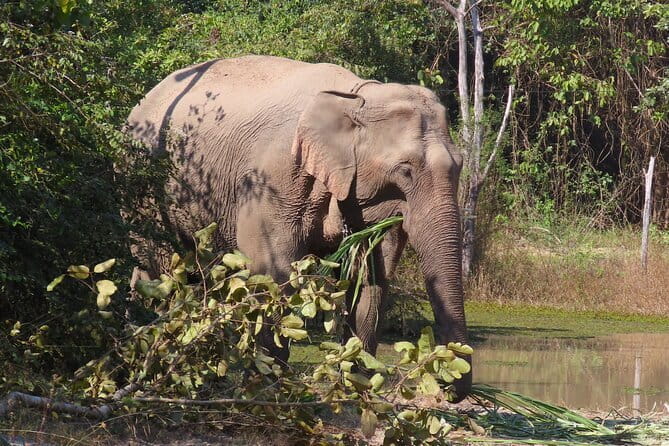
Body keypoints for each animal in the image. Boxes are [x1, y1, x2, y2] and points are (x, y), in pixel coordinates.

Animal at [126, 55, 471, 400]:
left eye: (460, 165)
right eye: (405, 170)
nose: (447, 389)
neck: (355, 96)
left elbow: (369, 278)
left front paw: (357, 388)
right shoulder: (273, 180)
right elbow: (274, 273)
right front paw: (267, 390)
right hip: (145, 192)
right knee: (160, 270)